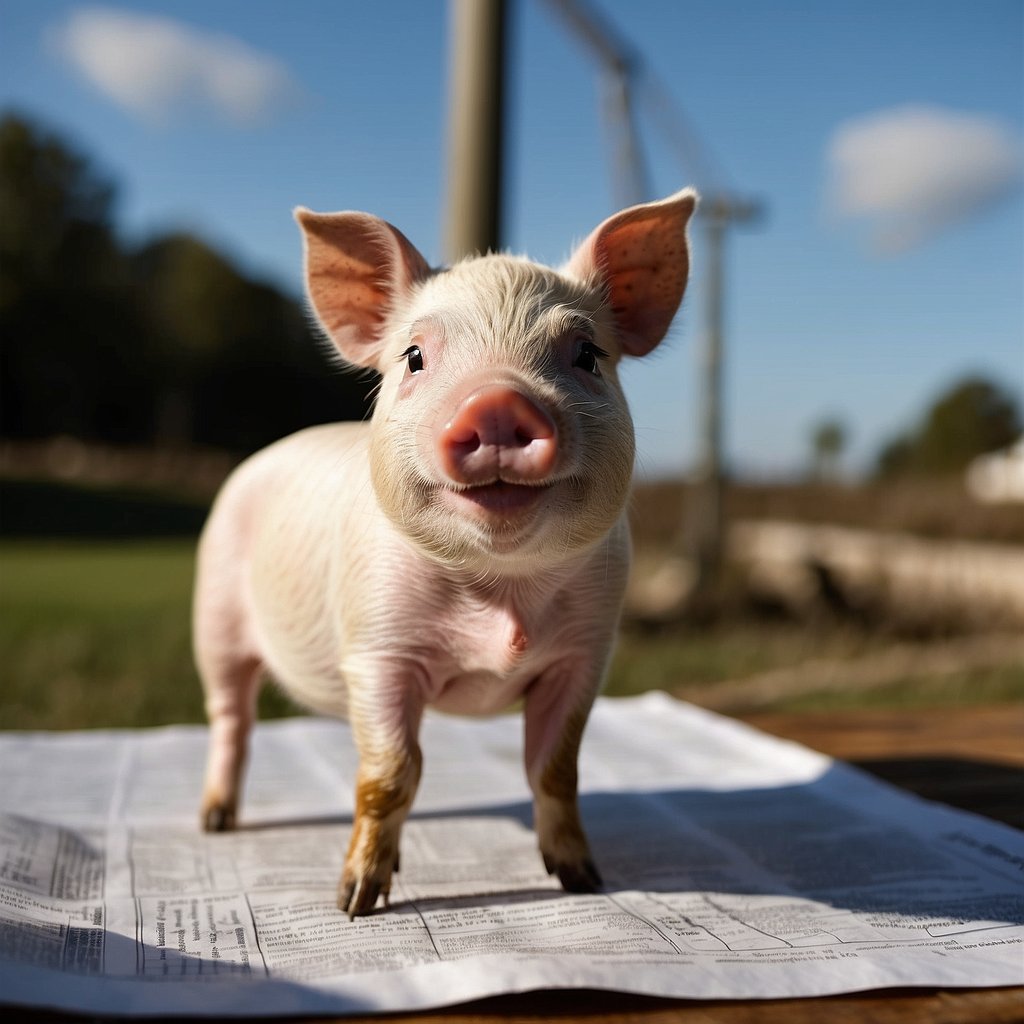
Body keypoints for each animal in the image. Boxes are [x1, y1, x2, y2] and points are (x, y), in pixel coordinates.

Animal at [193, 188, 697, 917]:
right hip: (215, 618)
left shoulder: (585, 653)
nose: (498, 401)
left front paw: (585, 880)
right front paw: (355, 904)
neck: (501, 590)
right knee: (232, 718)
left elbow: (555, 769)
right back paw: (215, 822)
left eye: (586, 354)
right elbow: (388, 774)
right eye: (413, 357)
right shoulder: (377, 649)